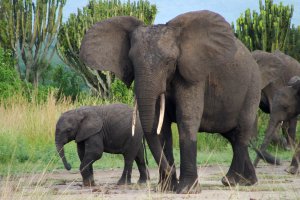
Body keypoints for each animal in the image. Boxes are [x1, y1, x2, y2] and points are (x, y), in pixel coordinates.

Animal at [79, 10, 262, 193]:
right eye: (131, 60)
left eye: (169, 62)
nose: (171, 172)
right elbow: (159, 126)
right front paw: (166, 188)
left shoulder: (193, 73)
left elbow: (187, 118)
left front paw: (186, 190)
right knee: (232, 135)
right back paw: (246, 181)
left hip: (252, 87)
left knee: (241, 133)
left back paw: (231, 181)